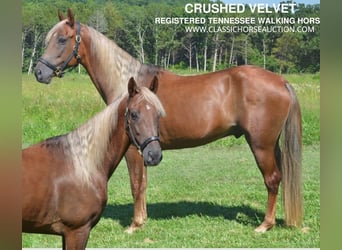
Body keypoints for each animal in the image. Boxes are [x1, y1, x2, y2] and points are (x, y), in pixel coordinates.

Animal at [34, 8, 302, 233]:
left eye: (62, 39)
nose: (39, 72)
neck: (128, 85)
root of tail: (280, 81)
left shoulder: (132, 150)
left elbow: (136, 184)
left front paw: (134, 225)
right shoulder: (144, 149)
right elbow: (143, 184)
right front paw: (142, 220)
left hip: (260, 145)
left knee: (272, 179)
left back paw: (264, 225)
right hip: (272, 145)